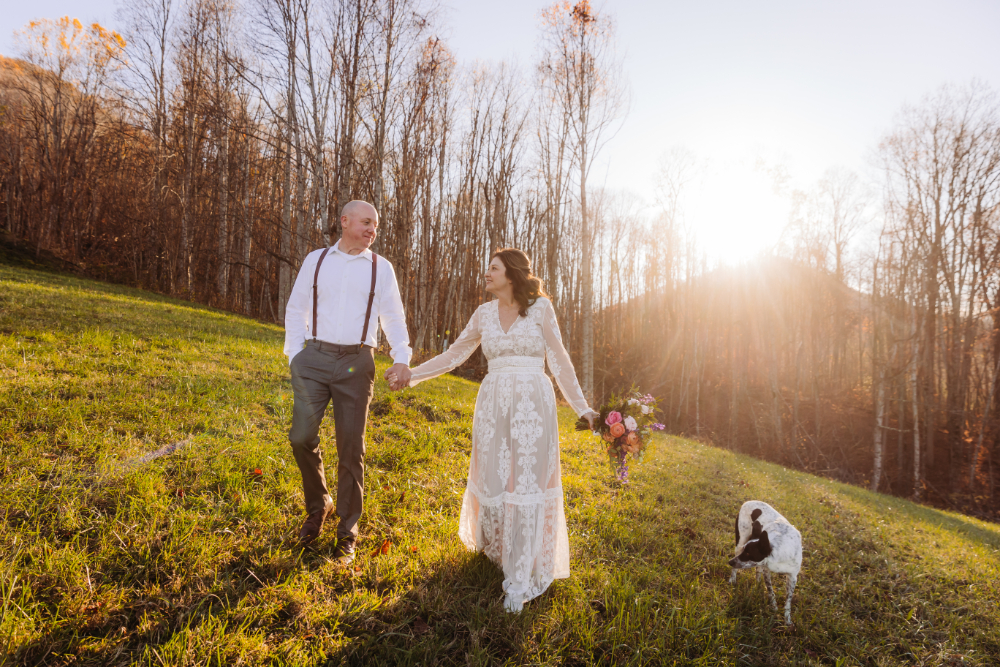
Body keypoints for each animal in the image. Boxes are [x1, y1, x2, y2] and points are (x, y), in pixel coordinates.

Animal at [728, 500, 804, 628]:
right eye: (745, 551)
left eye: (748, 553)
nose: (730, 562)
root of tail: (748, 501)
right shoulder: (766, 570)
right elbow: (770, 591)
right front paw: (774, 608)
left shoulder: (792, 576)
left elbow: (788, 601)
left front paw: (787, 621)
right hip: (741, 540)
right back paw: (732, 579)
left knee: (757, 570)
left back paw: (758, 584)